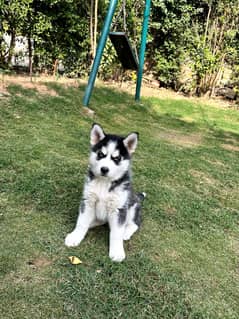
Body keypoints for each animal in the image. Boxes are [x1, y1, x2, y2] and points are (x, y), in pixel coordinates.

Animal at [64, 124, 145, 262]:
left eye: (116, 158)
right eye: (101, 154)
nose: (104, 169)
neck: (104, 183)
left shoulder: (119, 209)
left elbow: (116, 233)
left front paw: (117, 251)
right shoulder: (88, 201)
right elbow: (81, 223)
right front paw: (75, 237)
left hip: (133, 207)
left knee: (134, 224)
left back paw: (126, 232)